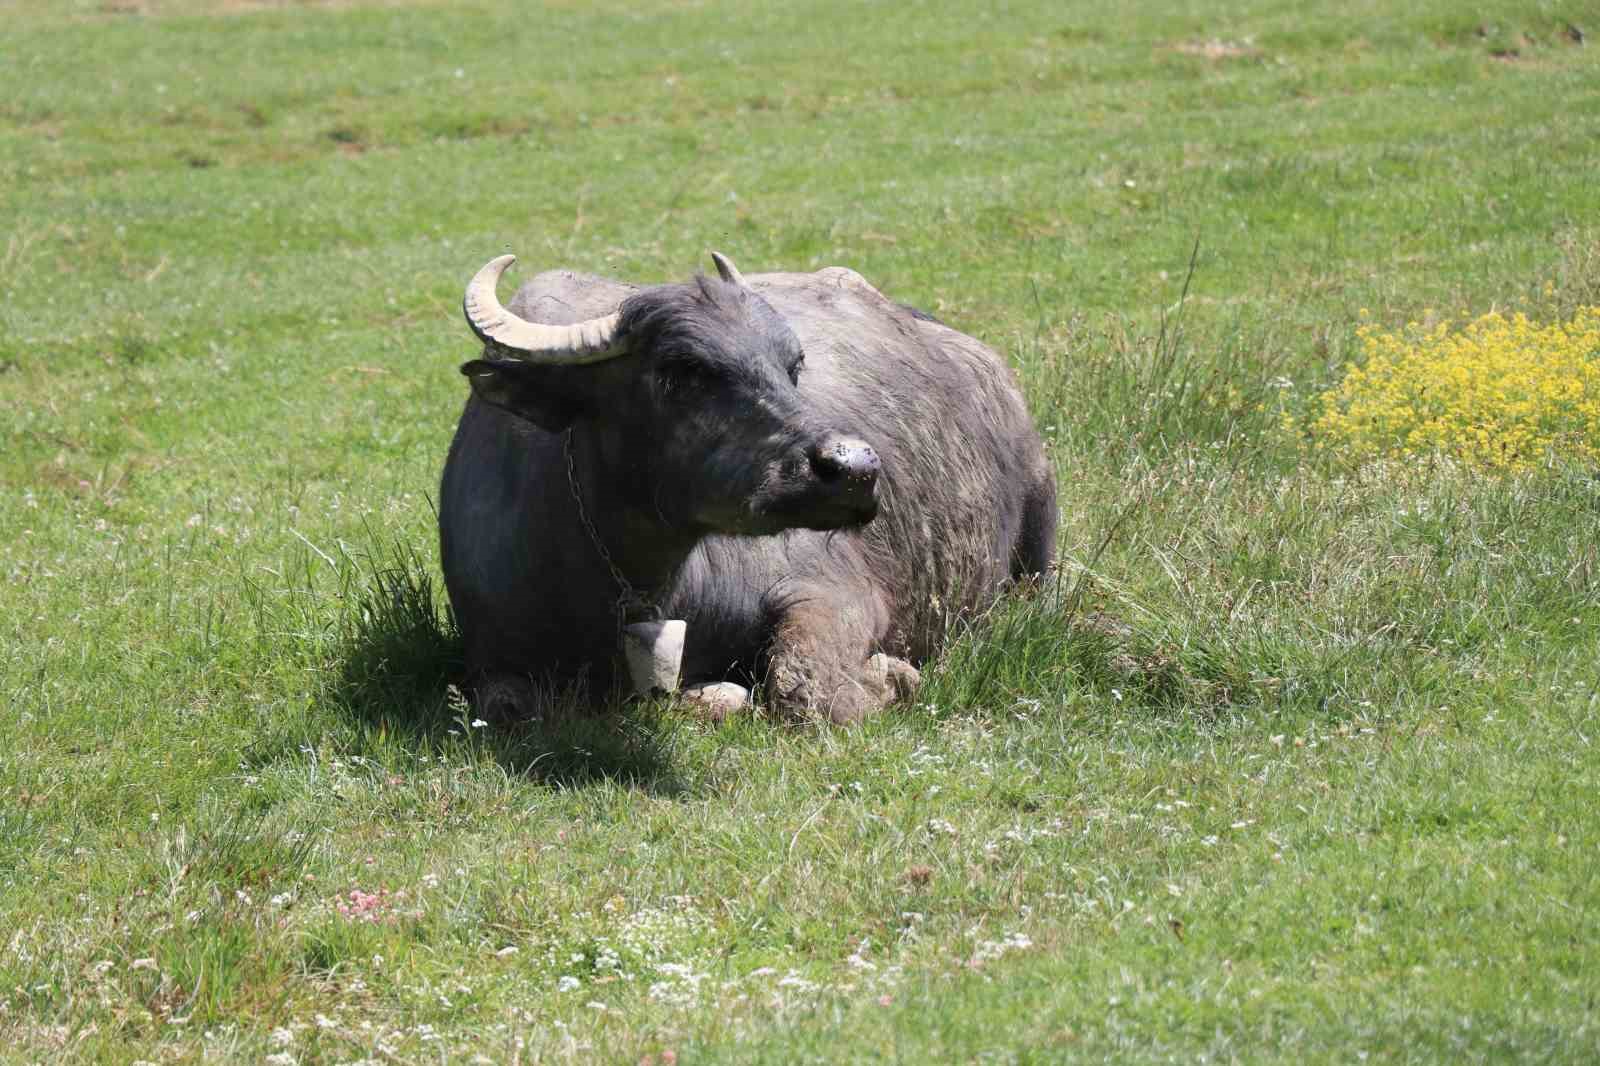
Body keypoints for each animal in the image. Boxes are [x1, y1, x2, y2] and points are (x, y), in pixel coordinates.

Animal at [444, 252, 1056, 717]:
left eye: (792, 365)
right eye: (681, 372)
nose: (855, 469)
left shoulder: (837, 592)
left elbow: (803, 686)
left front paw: (892, 675)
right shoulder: (491, 658)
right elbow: (510, 706)